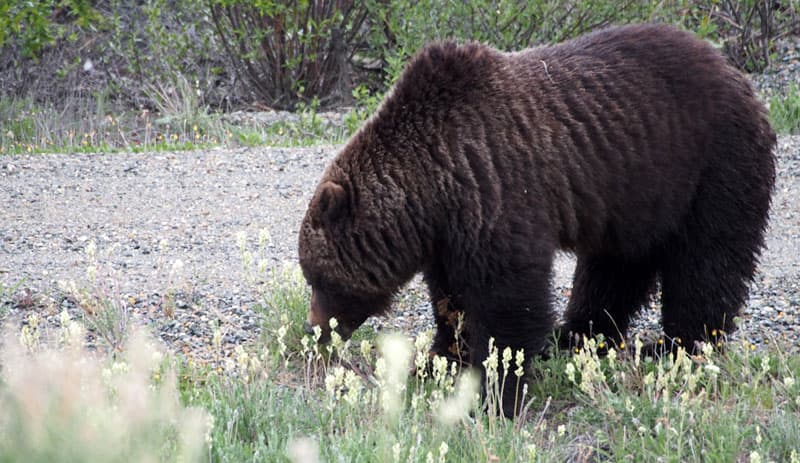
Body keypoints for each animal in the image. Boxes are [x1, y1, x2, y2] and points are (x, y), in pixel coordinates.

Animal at [298, 24, 776, 416]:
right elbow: (452, 299)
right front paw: (440, 361)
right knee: (615, 268)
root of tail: (737, 75)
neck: (434, 185)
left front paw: (497, 391)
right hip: (635, 192)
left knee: (707, 259)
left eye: (318, 277)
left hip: (711, 165)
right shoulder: (451, 231)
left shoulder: (496, 189)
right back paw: (578, 334)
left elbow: (507, 297)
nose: (316, 330)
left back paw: (678, 345)